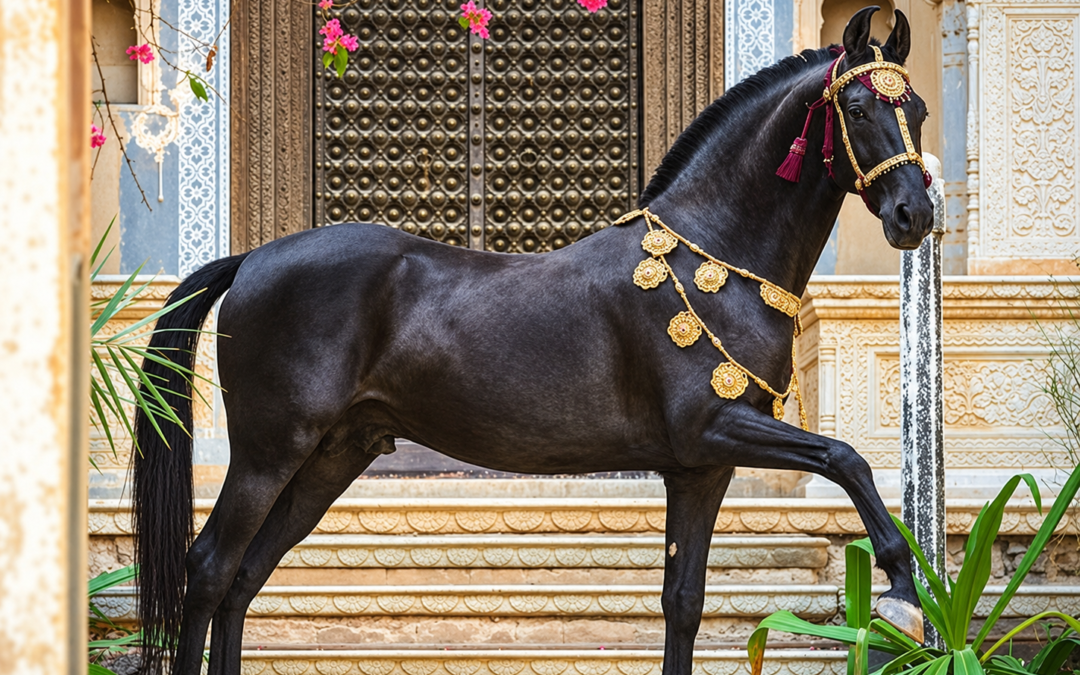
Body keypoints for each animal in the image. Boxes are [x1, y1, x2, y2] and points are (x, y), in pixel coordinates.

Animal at [132, 7, 934, 674]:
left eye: (917, 109)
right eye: (858, 107)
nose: (914, 214)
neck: (715, 258)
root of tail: (253, 258)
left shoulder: (701, 465)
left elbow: (683, 602)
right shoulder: (717, 426)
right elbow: (847, 457)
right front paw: (901, 591)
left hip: (331, 456)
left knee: (244, 577)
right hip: (269, 450)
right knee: (208, 567)